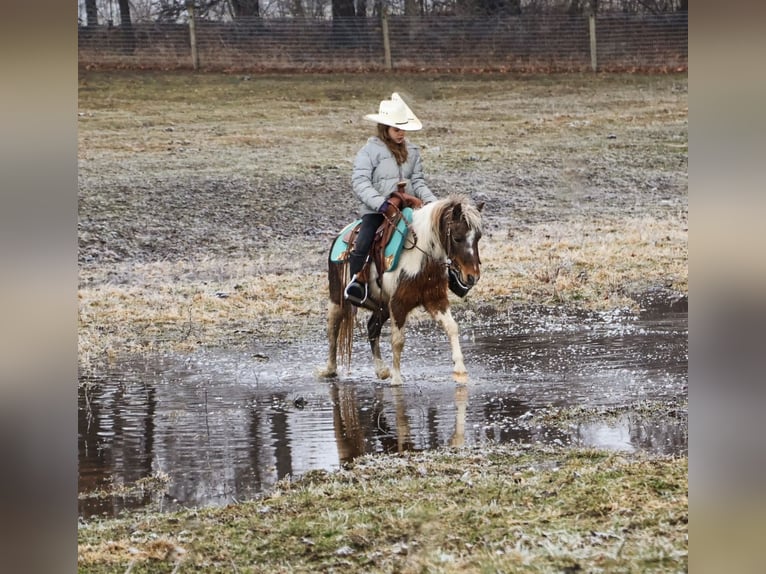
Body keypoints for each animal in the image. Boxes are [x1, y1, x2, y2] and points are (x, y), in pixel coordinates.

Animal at [317, 195, 484, 386]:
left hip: (382, 306)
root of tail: (340, 234)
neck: (421, 257)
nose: (472, 277)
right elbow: (398, 341)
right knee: (333, 331)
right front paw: (397, 379)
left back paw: (381, 370)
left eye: (478, 237)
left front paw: (460, 370)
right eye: (457, 238)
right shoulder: (398, 304)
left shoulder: (435, 300)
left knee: (372, 328)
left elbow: (452, 327)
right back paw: (330, 370)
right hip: (337, 299)